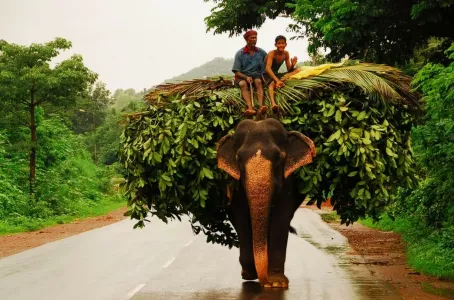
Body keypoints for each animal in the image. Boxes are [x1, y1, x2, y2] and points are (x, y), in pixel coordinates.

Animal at [216, 118, 316, 288]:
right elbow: (242, 218)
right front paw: (250, 275)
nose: (265, 284)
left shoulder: (288, 181)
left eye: (278, 157)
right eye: (238, 158)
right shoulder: (235, 185)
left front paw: (276, 283)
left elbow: (280, 217)